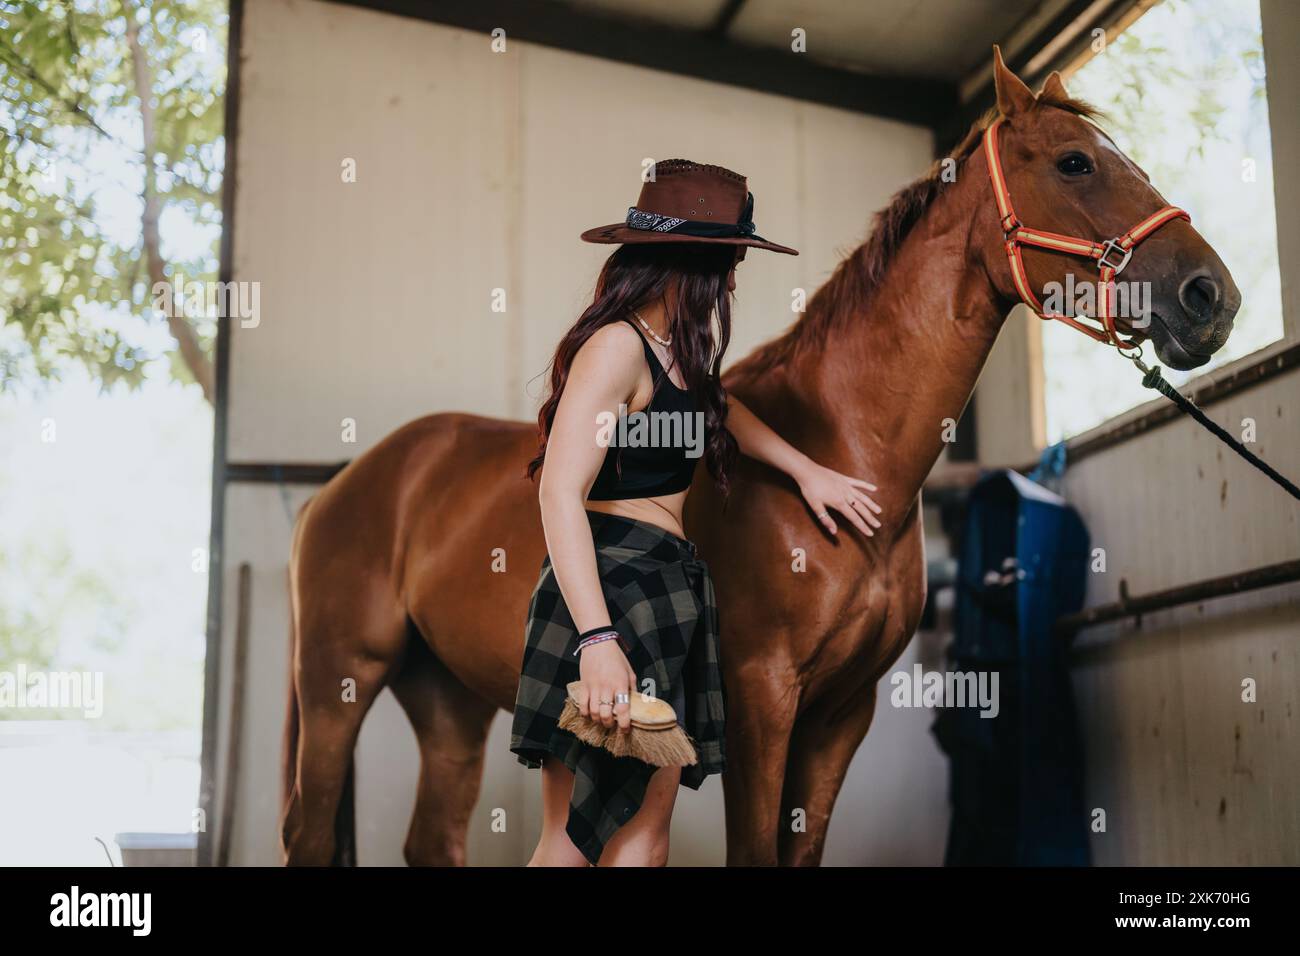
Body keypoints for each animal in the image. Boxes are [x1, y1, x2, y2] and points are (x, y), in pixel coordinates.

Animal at [279, 51, 1239, 866]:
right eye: (1075, 163)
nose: (1211, 297)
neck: (839, 449)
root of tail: (347, 485)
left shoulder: (840, 714)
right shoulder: (760, 698)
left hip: (446, 700)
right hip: (341, 683)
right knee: (308, 830)